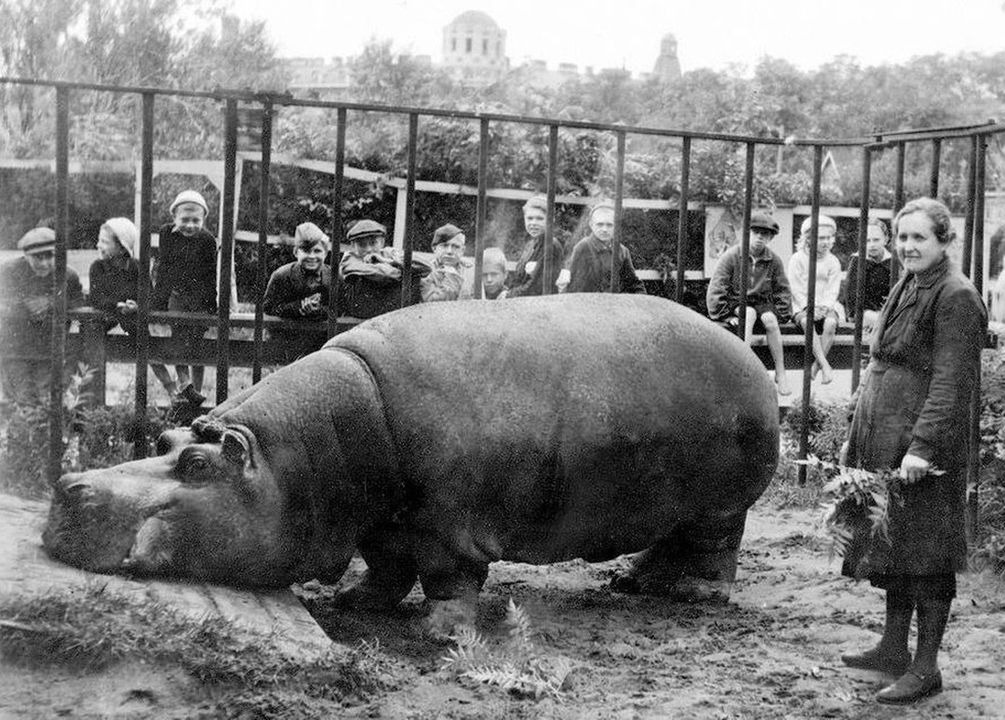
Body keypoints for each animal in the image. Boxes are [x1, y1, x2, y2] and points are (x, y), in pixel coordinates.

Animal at [44, 294, 779, 633]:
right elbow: (387, 565)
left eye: (197, 466)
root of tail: (750, 358)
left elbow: (448, 577)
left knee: (716, 548)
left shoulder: (448, 524)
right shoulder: (381, 520)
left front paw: (437, 630)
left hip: (720, 503)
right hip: (670, 503)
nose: (68, 484)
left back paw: (692, 595)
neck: (299, 455)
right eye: (166, 440)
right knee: (666, 542)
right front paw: (354, 602)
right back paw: (630, 581)